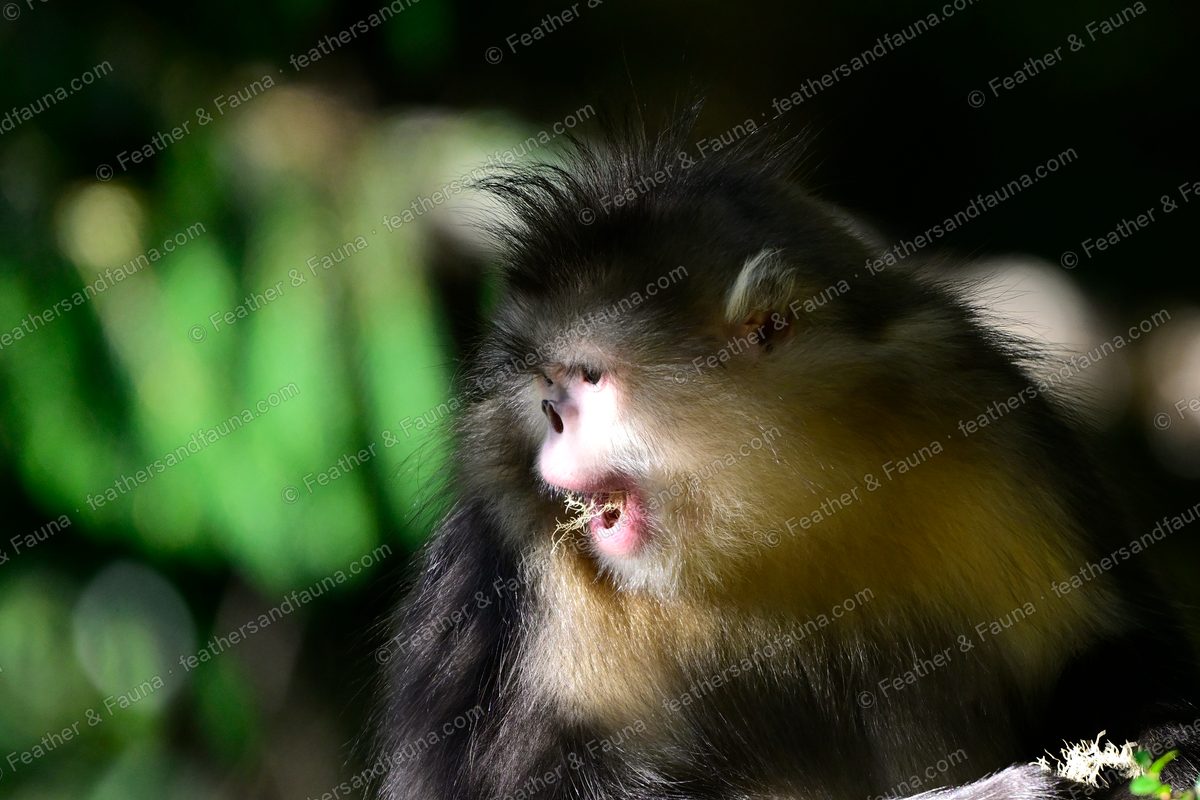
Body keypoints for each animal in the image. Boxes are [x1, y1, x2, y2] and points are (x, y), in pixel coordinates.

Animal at [370, 112, 1200, 800]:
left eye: (586, 381)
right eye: (546, 387)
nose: (551, 418)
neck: (776, 505)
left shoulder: (981, 414)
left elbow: (1113, 653)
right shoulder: (519, 547)